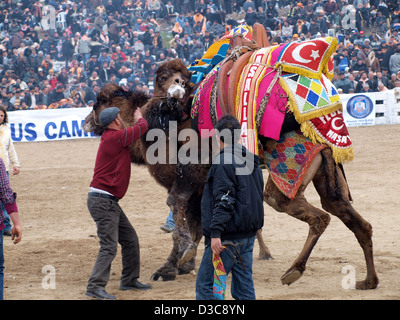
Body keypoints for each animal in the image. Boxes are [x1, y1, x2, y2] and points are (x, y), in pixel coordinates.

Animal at [83, 24, 378, 290]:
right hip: (326, 174)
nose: (87, 121)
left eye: (99, 101)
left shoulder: (190, 175)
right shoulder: (200, 186)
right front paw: (185, 263)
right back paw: (368, 280)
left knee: (313, 214)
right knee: (355, 220)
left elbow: (178, 209)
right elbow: (195, 220)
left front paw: (173, 264)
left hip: (290, 172)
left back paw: (293, 270)